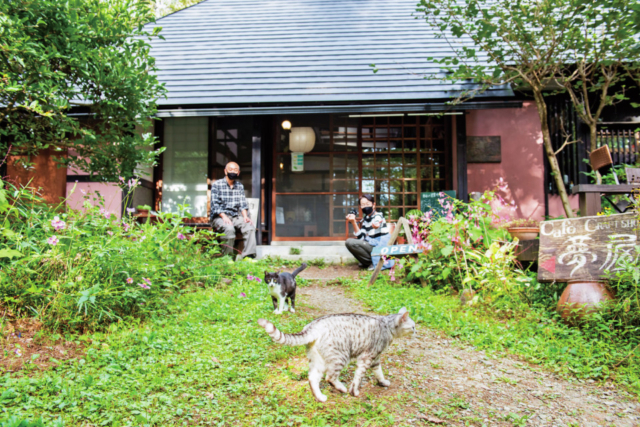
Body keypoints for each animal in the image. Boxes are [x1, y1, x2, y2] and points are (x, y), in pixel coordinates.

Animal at [258, 308, 418, 402]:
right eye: (413, 327)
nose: (416, 332)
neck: (386, 325)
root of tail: (312, 326)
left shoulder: (375, 359)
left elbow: (379, 372)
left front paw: (383, 382)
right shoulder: (366, 358)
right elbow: (358, 377)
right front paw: (355, 392)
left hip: (318, 361)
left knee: (313, 378)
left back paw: (320, 397)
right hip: (341, 357)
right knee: (330, 377)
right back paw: (342, 388)